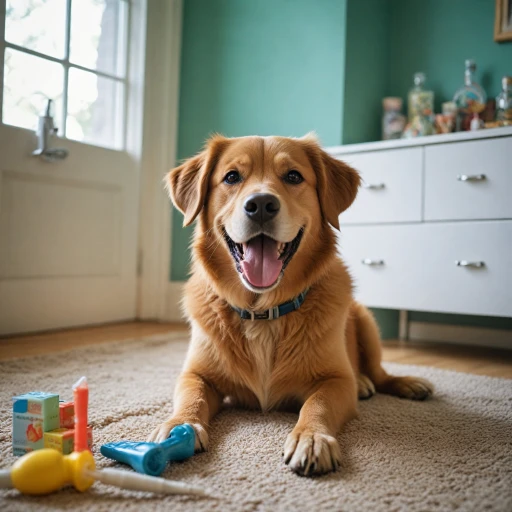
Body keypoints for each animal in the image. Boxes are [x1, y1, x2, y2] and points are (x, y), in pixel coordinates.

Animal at [150, 133, 434, 476]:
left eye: (294, 176)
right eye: (231, 177)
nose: (260, 205)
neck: (262, 312)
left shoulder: (336, 381)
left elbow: (317, 404)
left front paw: (311, 437)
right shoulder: (196, 374)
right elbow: (191, 397)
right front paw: (179, 425)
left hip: (366, 322)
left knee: (380, 373)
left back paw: (398, 383)